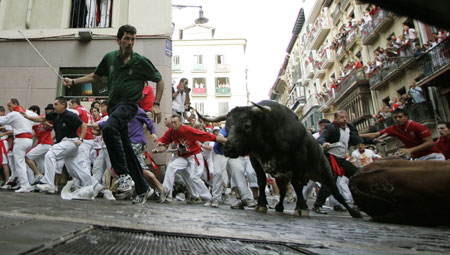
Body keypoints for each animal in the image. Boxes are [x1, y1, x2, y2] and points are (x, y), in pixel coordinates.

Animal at [197, 100, 362, 218]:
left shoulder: (298, 159)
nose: (228, 148)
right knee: (283, 190)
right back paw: (279, 206)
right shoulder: (256, 161)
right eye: (228, 126)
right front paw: (261, 205)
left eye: (247, 125)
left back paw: (353, 212)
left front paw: (301, 208)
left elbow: (297, 185)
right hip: (283, 176)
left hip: (325, 172)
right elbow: (262, 181)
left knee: (334, 191)